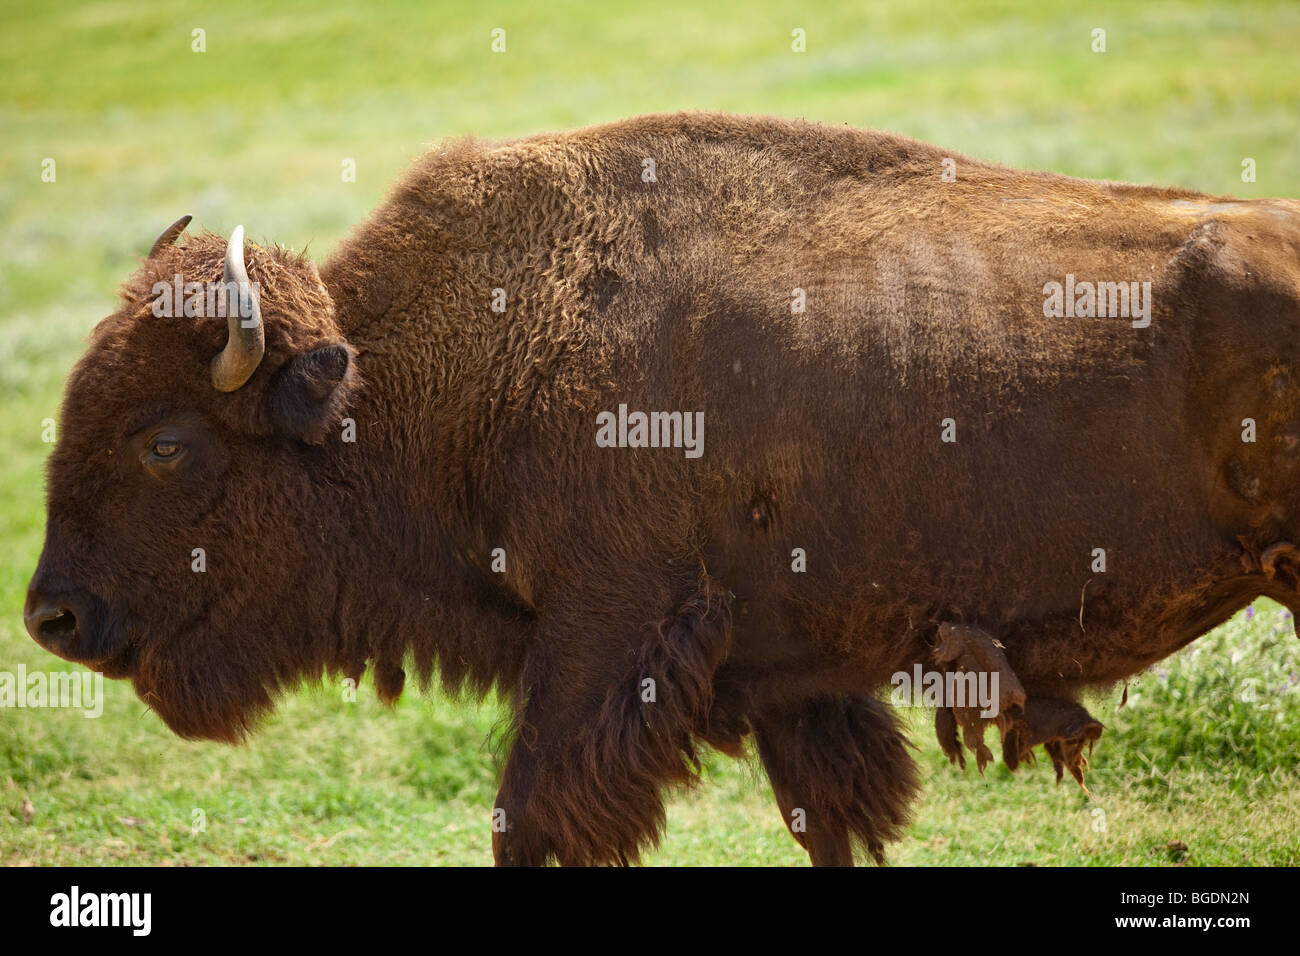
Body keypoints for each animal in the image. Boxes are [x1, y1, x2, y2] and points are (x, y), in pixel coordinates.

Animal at [24, 112, 1300, 865]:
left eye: (166, 442)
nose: (53, 615)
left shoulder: (605, 632)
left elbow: (533, 818)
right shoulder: (798, 679)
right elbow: (832, 819)